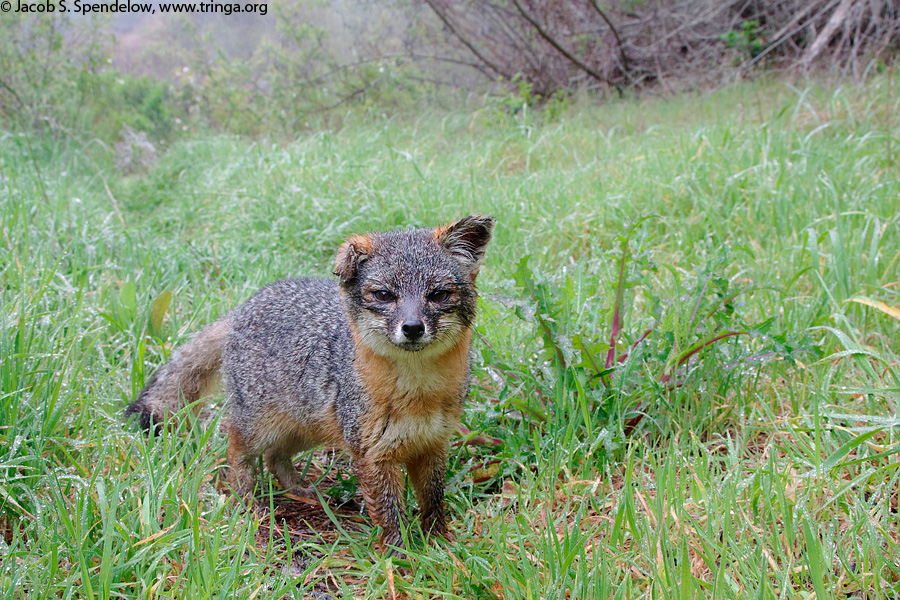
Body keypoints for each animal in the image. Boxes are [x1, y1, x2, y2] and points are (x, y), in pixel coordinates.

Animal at [124, 213, 496, 552]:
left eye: (439, 294)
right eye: (383, 295)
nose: (413, 327)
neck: (418, 394)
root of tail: (243, 307)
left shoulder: (432, 445)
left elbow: (434, 501)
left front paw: (440, 545)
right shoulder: (373, 454)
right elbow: (389, 512)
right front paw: (399, 557)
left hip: (306, 428)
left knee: (275, 458)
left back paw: (301, 490)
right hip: (260, 427)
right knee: (236, 449)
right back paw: (247, 501)